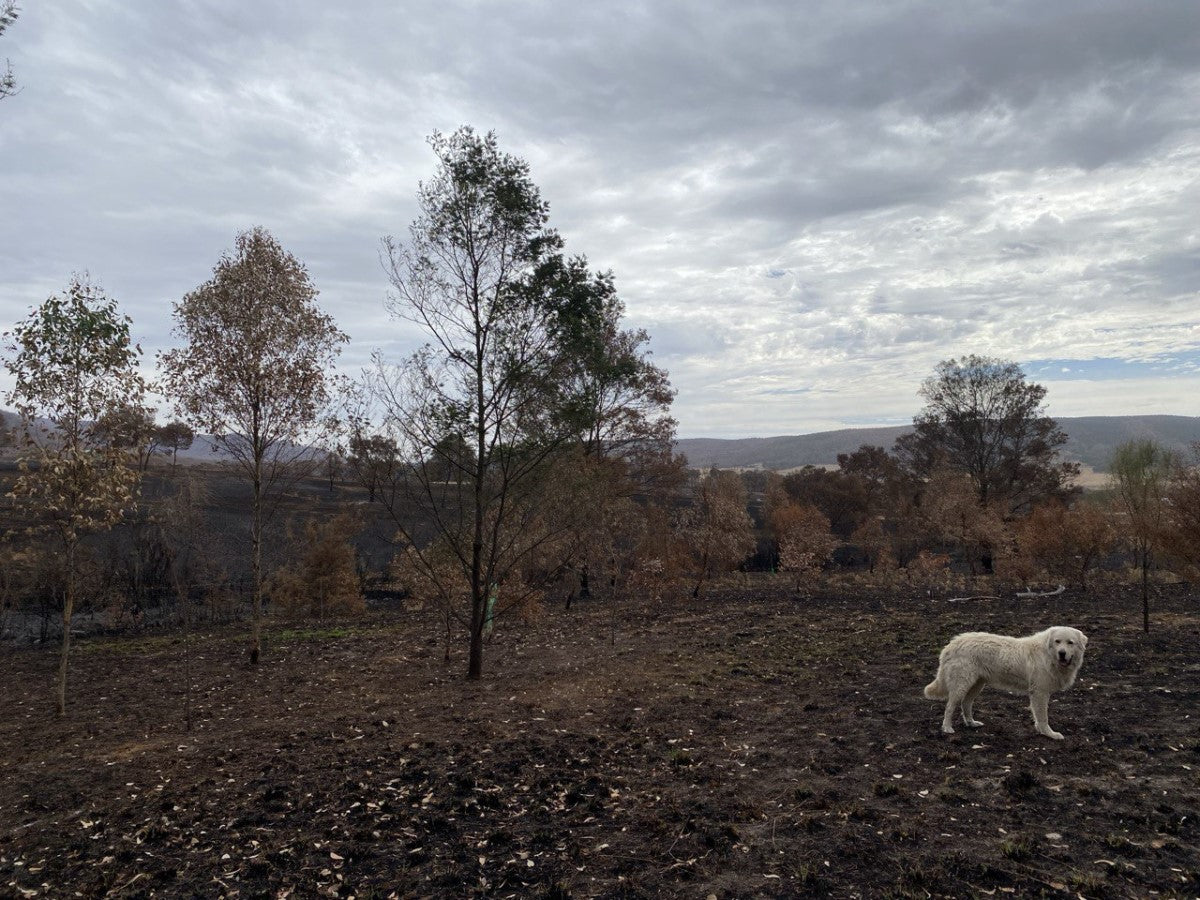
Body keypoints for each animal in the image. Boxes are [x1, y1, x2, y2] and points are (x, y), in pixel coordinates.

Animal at [926, 628, 1089, 739]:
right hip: (962, 685)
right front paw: (1050, 734)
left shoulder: (1038, 693)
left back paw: (971, 723)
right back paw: (947, 728)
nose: (1062, 653)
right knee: (949, 706)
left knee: (965, 703)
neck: (1047, 655)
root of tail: (951, 645)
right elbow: (1043, 717)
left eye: (1070, 643)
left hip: (976, 684)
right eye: (1057, 641)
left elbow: (1038, 716)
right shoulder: (1040, 692)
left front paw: (1040, 730)